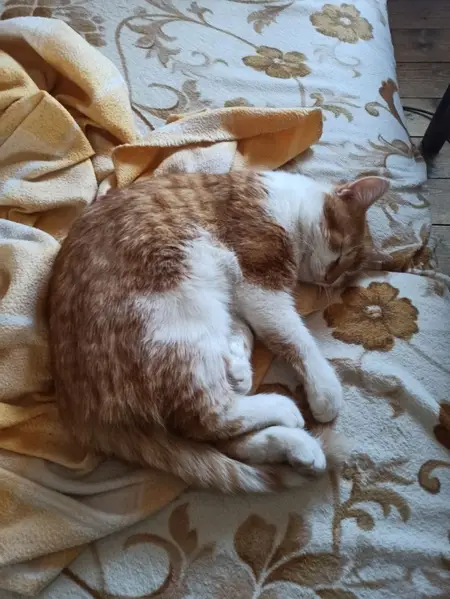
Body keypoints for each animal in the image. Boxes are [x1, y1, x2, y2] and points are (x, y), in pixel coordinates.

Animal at [48, 170, 388, 493]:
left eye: (344, 277)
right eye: (340, 252)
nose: (329, 279)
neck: (287, 205)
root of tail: (75, 408)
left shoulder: (239, 300)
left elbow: (245, 332)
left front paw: (239, 369)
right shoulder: (260, 285)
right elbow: (294, 338)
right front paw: (325, 389)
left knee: (221, 439)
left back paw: (299, 448)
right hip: (181, 320)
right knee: (210, 419)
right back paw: (285, 411)